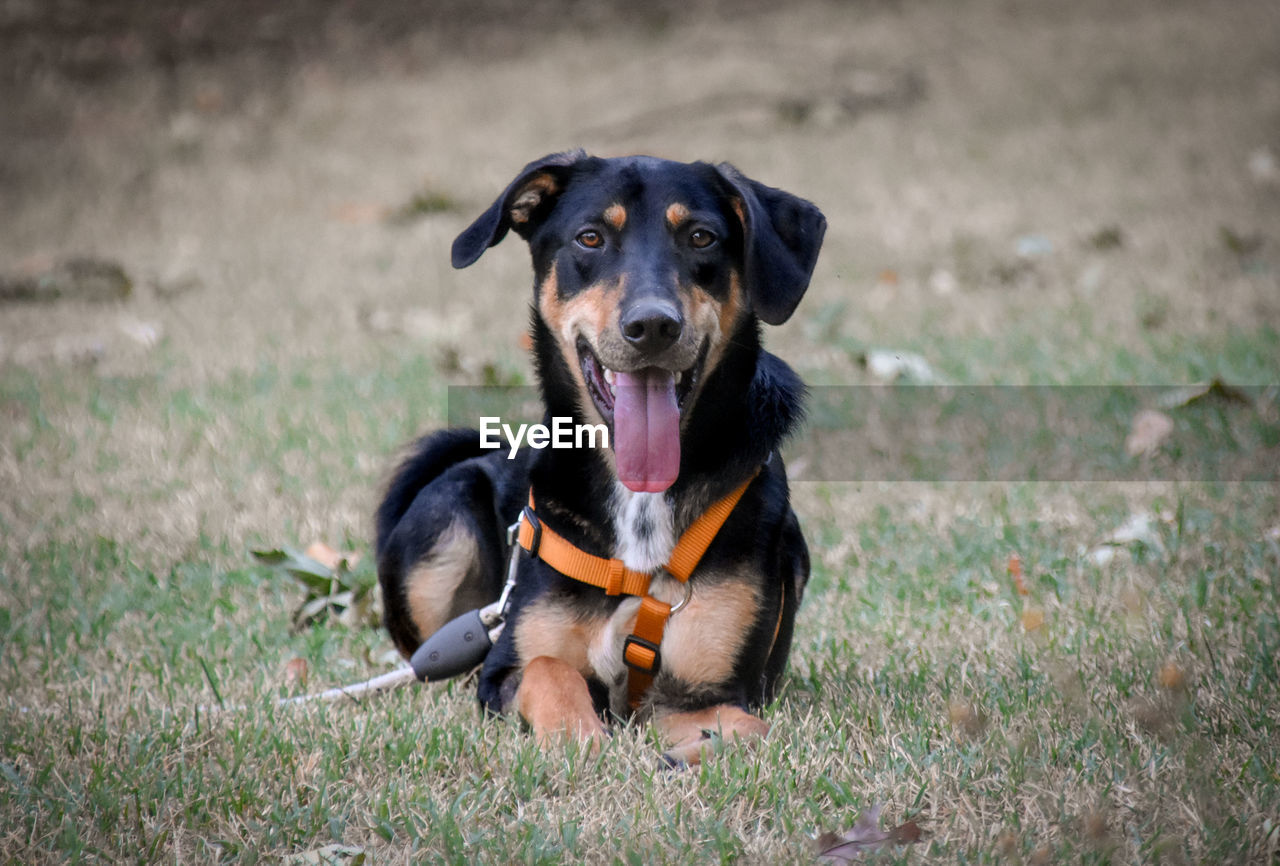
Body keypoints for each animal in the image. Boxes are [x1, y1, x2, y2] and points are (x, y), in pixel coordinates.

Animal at [373, 150, 824, 762]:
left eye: (701, 237)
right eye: (590, 238)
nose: (653, 325)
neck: (640, 501)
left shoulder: (710, 691)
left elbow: (746, 728)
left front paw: (678, 758)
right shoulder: (503, 670)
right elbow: (548, 669)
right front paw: (578, 738)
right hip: (445, 524)